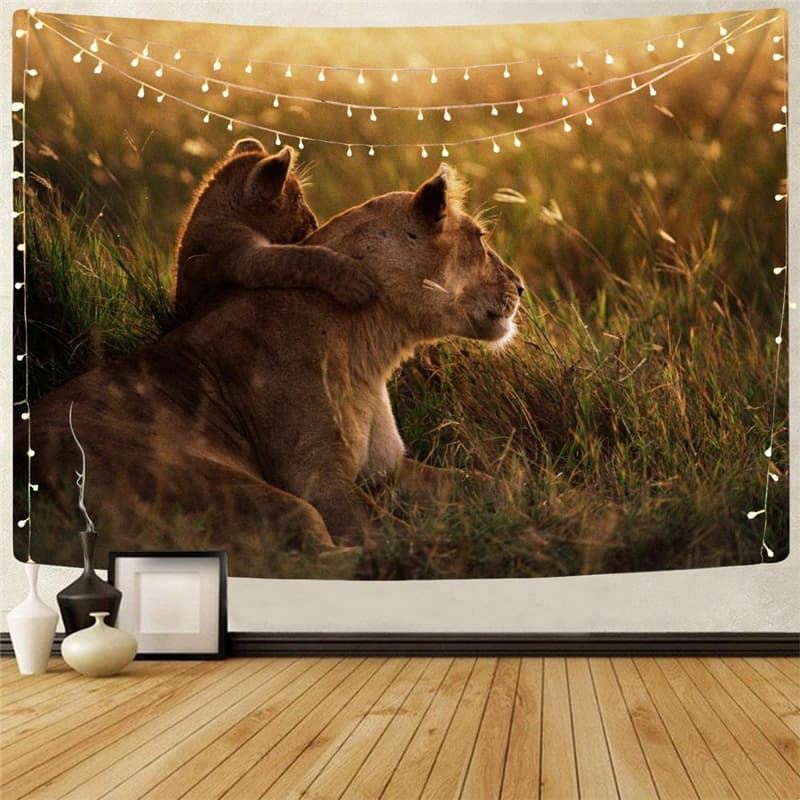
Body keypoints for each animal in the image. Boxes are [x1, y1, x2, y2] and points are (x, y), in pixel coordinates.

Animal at [17, 167, 522, 577]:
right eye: (480, 238)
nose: (520, 285)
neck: (372, 347)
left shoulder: (387, 469)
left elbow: (485, 483)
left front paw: (528, 495)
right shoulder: (318, 478)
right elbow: (384, 526)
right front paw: (443, 538)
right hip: (225, 484)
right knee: (311, 561)